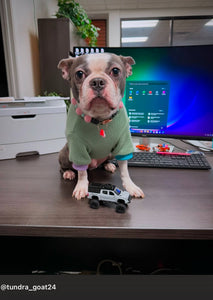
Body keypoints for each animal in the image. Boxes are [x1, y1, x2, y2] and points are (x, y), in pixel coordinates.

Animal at [57, 52, 145, 200]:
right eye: (79, 74)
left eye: (115, 71)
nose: (97, 81)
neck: (100, 119)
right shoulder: (78, 148)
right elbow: (82, 173)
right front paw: (81, 187)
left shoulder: (123, 143)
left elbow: (125, 170)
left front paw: (131, 186)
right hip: (66, 153)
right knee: (65, 167)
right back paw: (68, 172)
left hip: (109, 153)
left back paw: (109, 165)